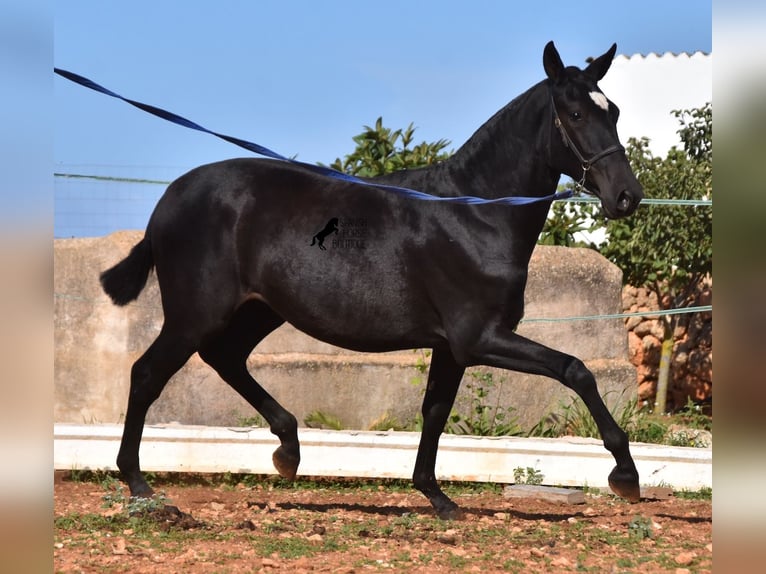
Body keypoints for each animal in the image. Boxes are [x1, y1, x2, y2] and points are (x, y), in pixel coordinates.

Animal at [99, 42, 644, 520]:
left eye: (614, 110)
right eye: (575, 114)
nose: (627, 196)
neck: (476, 215)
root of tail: (169, 199)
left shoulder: (452, 346)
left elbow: (435, 411)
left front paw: (437, 497)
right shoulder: (479, 338)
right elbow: (576, 370)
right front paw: (626, 476)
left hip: (259, 309)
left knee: (225, 357)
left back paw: (288, 451)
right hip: (196, 312)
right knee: (147, 374)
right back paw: (139, 483)